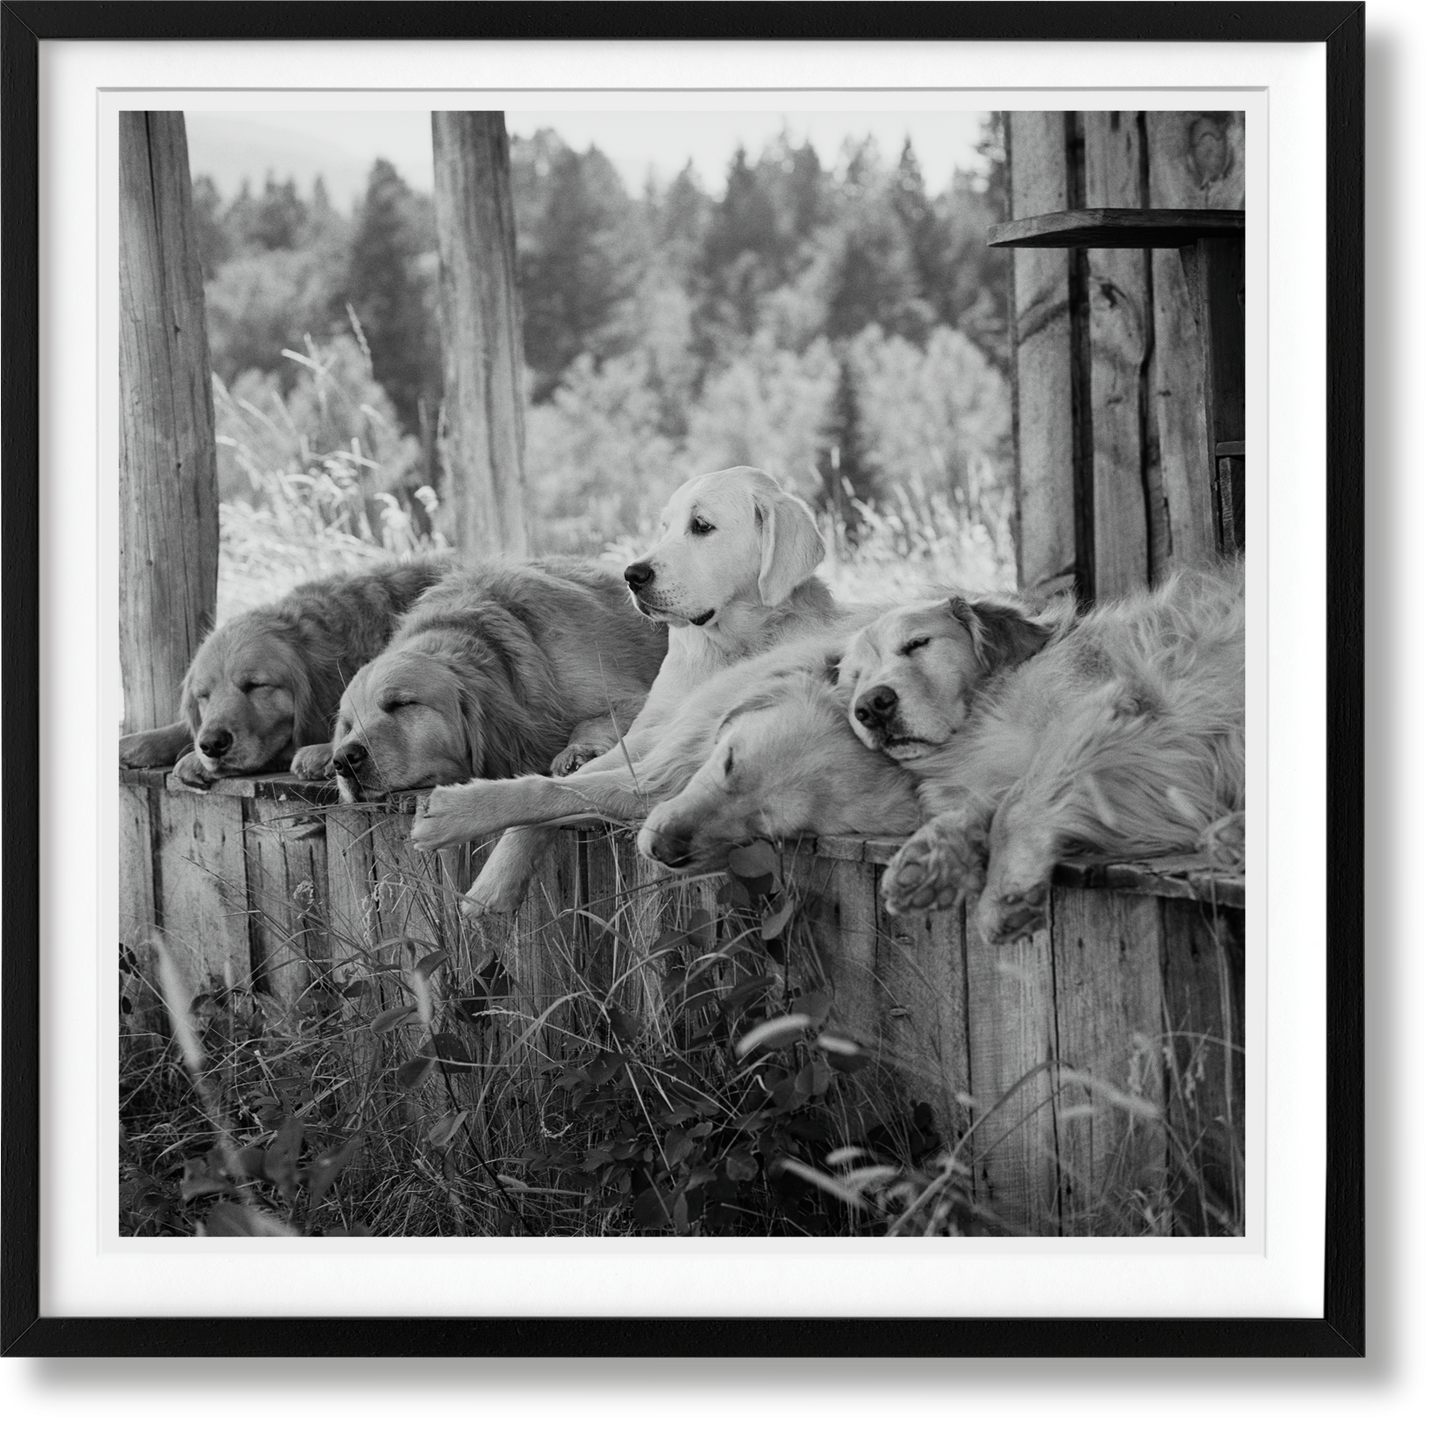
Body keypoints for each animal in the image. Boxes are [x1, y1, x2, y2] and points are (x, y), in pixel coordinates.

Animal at [328, 560, 664, 809]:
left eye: (402, 703)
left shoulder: (636, 696)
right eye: (348, 726)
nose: (343, 759)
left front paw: (578, 752)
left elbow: (594, 721)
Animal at [407, 465, 843, 901]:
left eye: (702, 526)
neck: (725, 649)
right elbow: (558, 789)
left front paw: (456, 816)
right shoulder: (646, 736)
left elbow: (553, 791)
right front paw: (496, 879)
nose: (632, 575)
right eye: (664, 528)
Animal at [843, 566, 1248, 947]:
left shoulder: (1103, 713)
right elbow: (986, 804)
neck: (981, 713)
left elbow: (1016, 804)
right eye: (855, 677)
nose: (870, 706)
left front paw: (1002, 893)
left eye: (917, 644)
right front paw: (929, 858)